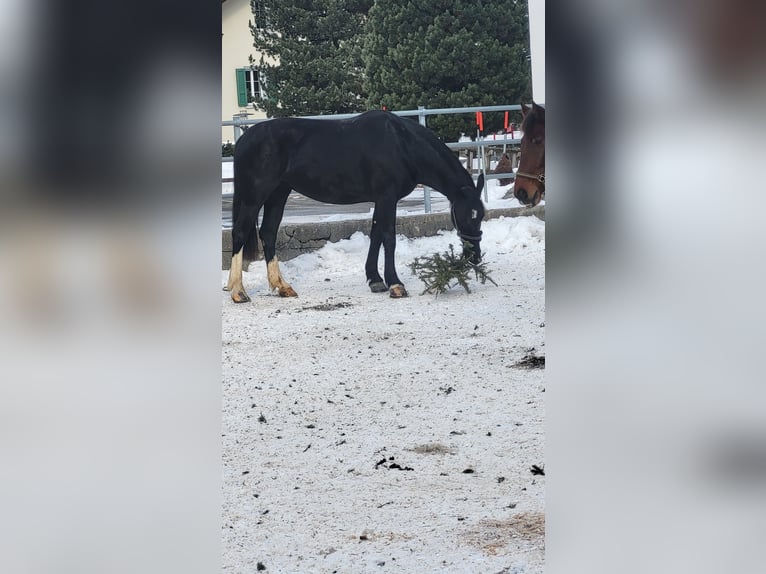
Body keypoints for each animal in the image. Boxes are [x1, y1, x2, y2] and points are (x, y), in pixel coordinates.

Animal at [225, 109, 486, 304]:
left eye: (480, 216)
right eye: (466, 216)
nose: (473, 257)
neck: (401, 144)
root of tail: (244, 140)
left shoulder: (380, 200)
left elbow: (376, 235)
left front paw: (375, 280)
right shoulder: (387, 197)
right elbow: (388, 237)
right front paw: (395, 284)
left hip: (278, 194)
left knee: (268, 232)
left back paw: (281, 286)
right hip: (254, 196)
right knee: (240, 232)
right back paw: (238, 292)